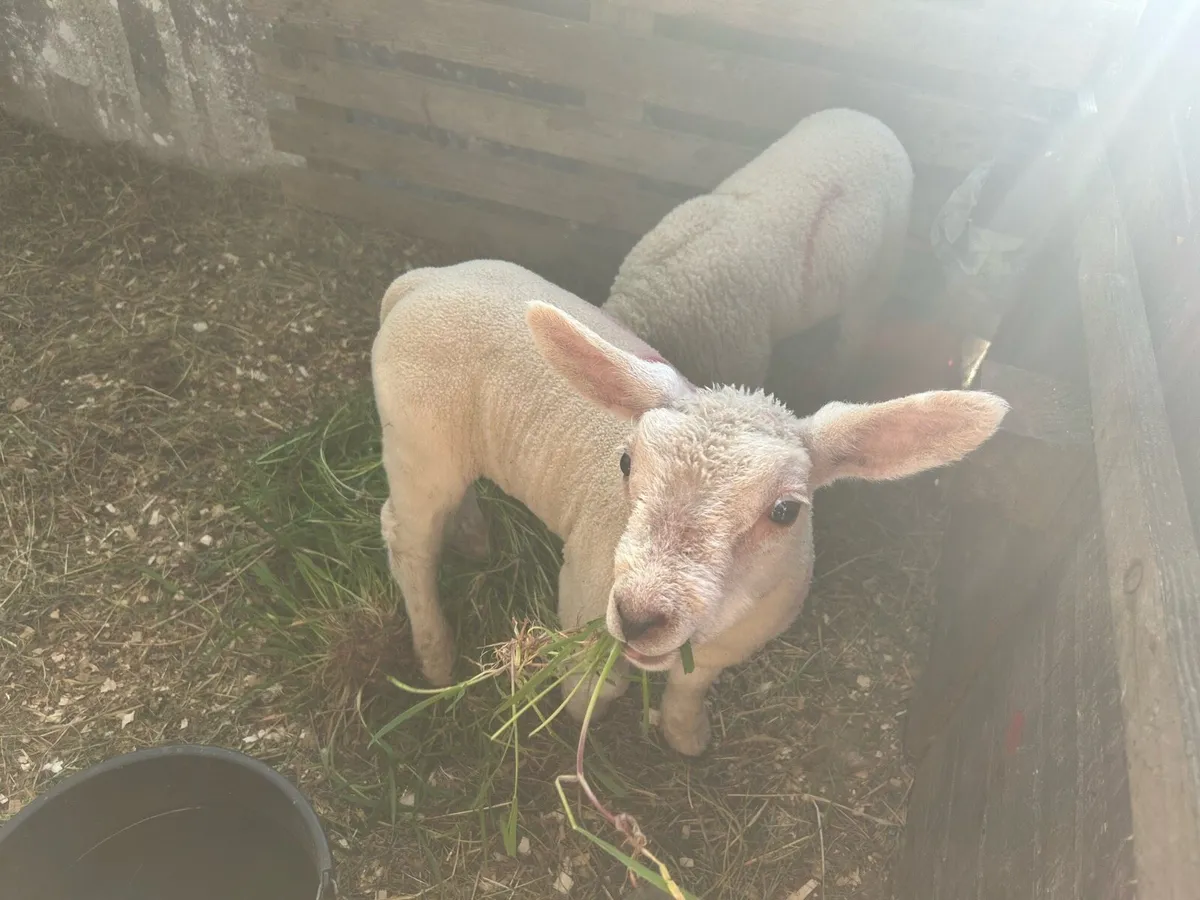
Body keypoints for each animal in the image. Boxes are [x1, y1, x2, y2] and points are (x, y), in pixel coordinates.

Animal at [372, 258, 1007, 756]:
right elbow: (594, 683)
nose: (638, 616)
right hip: (418, 437)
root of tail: (421, 281)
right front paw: (581, 717)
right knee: (406, 538)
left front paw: (686, 737)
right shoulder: (581, 596)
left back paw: (472, 536)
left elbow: (690, 689)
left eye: (786, 511)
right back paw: (435, 654)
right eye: (626, 462)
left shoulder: (737, 641)